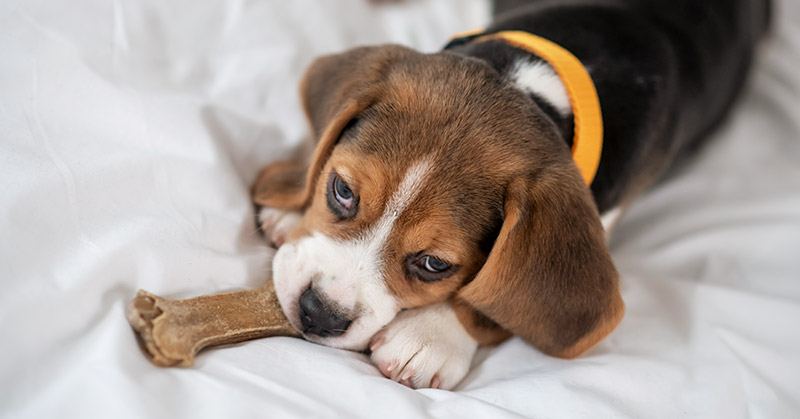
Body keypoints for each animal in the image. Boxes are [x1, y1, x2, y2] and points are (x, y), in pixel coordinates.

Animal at [250, 0, 768, 392]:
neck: (535, 86)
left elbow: (492, 293)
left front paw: (431, 336)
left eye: (434, 264)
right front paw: (290, 205)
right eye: (341, 191)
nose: (318, 314)